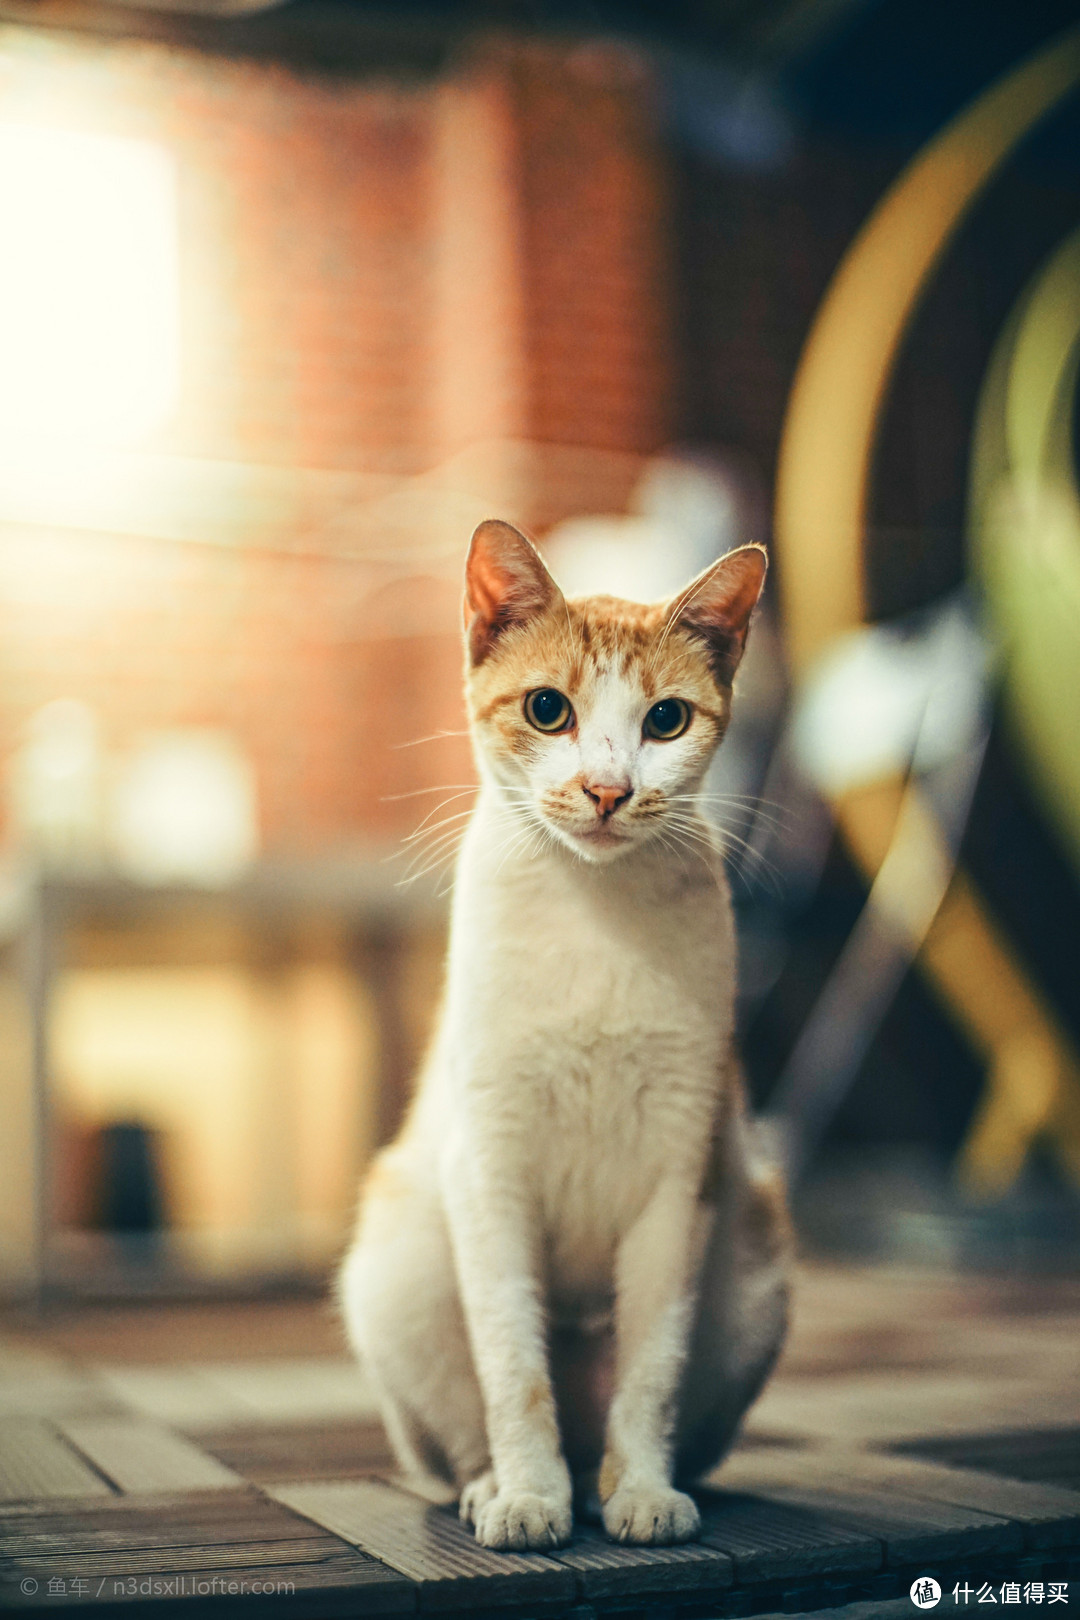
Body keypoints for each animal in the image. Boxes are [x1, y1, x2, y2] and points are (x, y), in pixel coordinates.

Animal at [341, 524, 790, 1548]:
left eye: (666, 720)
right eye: (549, 710)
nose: (607, 789)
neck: (595, 914)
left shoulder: (680, 1176)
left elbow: (652, 1374)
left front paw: (645, 1491)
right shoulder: (489, 1168)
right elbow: (513, 1367)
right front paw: (526, 1495)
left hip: (753, 1269)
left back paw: (601, 1483)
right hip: (400, 1264)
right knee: (461, 1429)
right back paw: (498, 1486)